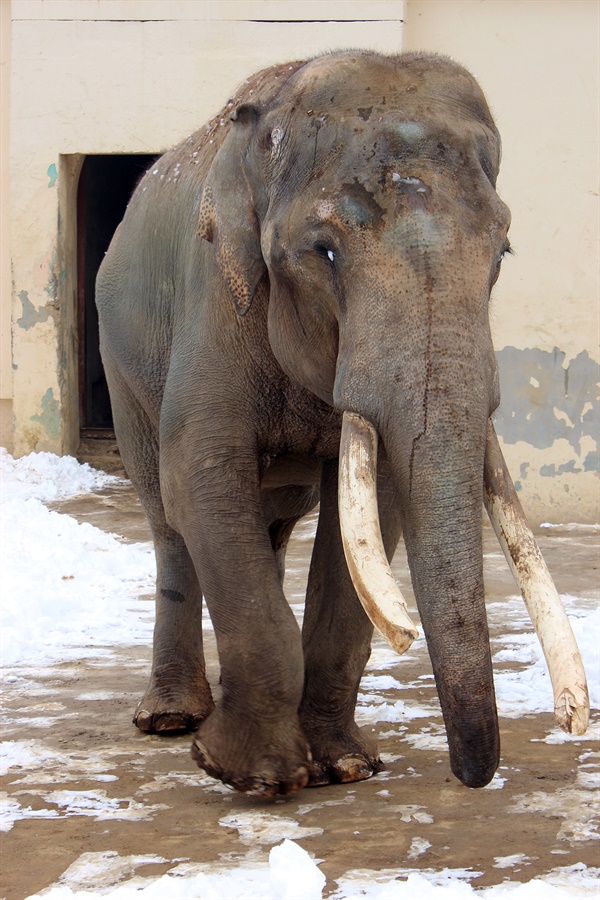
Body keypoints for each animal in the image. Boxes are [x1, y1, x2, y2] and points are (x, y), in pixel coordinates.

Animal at [96, 51, 588, 796]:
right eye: (323, 251)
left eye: (502, 252)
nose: (472, 776)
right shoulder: (215, 298)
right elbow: (202, 476)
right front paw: (259, 777)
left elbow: (372, 505)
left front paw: (345, 765)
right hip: (123, 370)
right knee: (168, 516)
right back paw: (172, 719)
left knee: (267, 524)